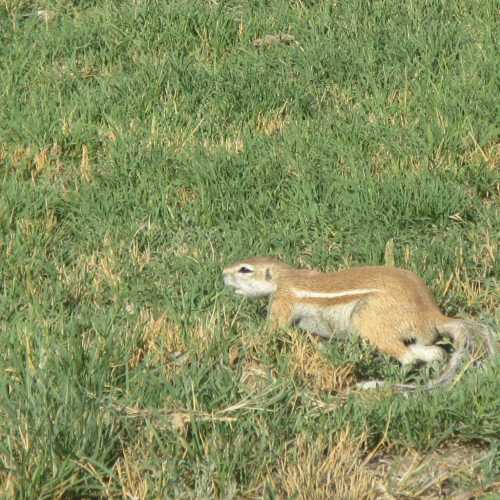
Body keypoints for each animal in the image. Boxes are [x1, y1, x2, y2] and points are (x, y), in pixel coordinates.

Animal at [224, 258, 496, 390]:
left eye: (245, 269)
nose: (222, 272)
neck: (285, 277)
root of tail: (434, 315)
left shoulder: (283, 303)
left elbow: (269, 331)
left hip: (368, 321)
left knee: (407, 357)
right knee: (436, 352)